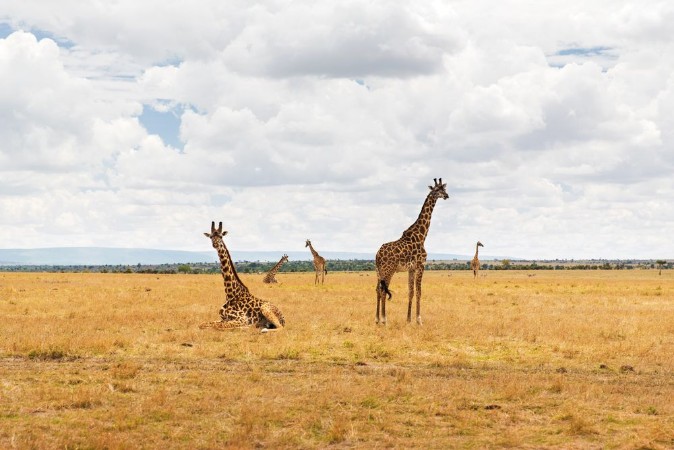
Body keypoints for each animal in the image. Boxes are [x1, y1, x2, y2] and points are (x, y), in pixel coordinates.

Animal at [375, 178, 449, 325]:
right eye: (437, 190)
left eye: (443, 189)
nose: (446, 196)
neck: (421, 236)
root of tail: (377, 255)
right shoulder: (421, 265)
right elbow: (419, 291)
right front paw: (419, 320)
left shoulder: (411, 269)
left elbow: (411, 291)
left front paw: (408, 319)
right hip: (388, 270)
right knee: (383, 291)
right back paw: (384, 319)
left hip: (378, 271)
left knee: (377, 290)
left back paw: (377, 319)